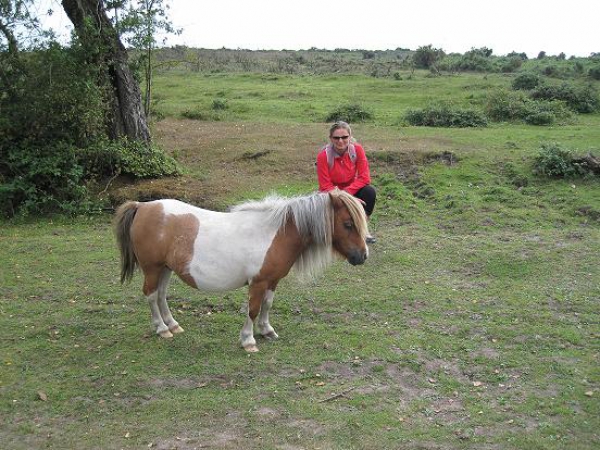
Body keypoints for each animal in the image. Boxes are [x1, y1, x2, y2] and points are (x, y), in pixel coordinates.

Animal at [112, 188, 368, 354]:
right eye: (348, 224)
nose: (362, 256)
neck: (275, 233)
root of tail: (142, 206)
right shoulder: (258, 282)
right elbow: (253, 310)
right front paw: (248, 341)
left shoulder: (272, 281)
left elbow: (267, 305)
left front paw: (267, 330)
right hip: (152, 268)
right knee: (151, 295)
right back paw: (162, 328)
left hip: (165, 268)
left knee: (161, 295)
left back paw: (173, 325)